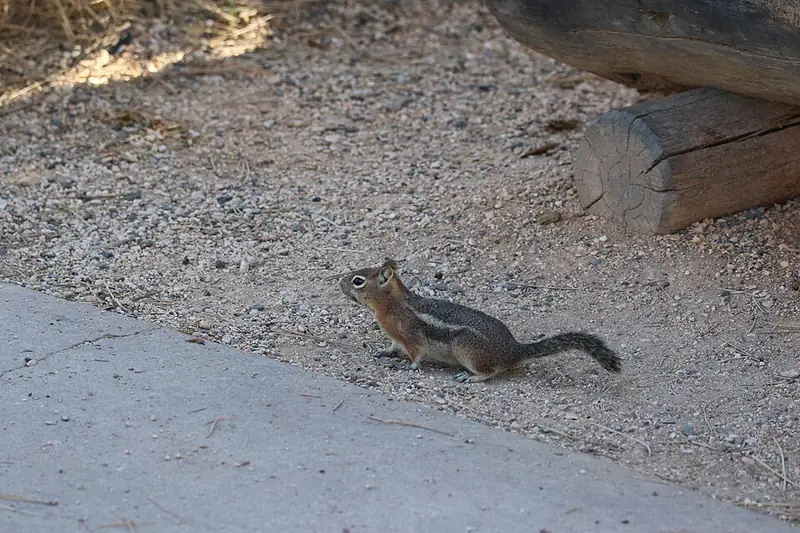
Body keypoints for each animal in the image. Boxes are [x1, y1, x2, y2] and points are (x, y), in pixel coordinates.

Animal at [339, 258, 622, 383]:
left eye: (358, 280)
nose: (340, 282)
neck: (391, 305)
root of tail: (514, 350)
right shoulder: (397, 338)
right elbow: (393, 347)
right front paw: (384, 353)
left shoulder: (413, 336)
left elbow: (417, 354)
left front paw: (410, 367)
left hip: (466, 350)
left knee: (491, 372)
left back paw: (471, 379)